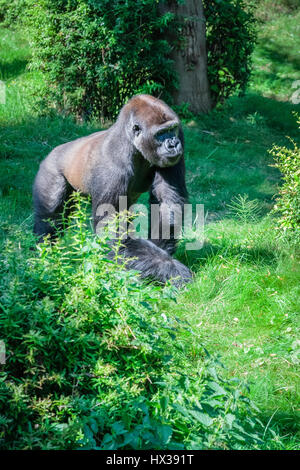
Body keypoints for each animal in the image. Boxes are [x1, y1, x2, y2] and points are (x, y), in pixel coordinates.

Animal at [32, 94, 192, 286]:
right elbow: (111, 231)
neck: (130, 142)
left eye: (172, 129)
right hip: (49, 170)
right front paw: (170, 267)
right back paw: (46, 256)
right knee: (50, 218)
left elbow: (167, 203)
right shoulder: (112, 169)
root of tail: (53, 151)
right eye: (160, 134)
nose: (173, 144)